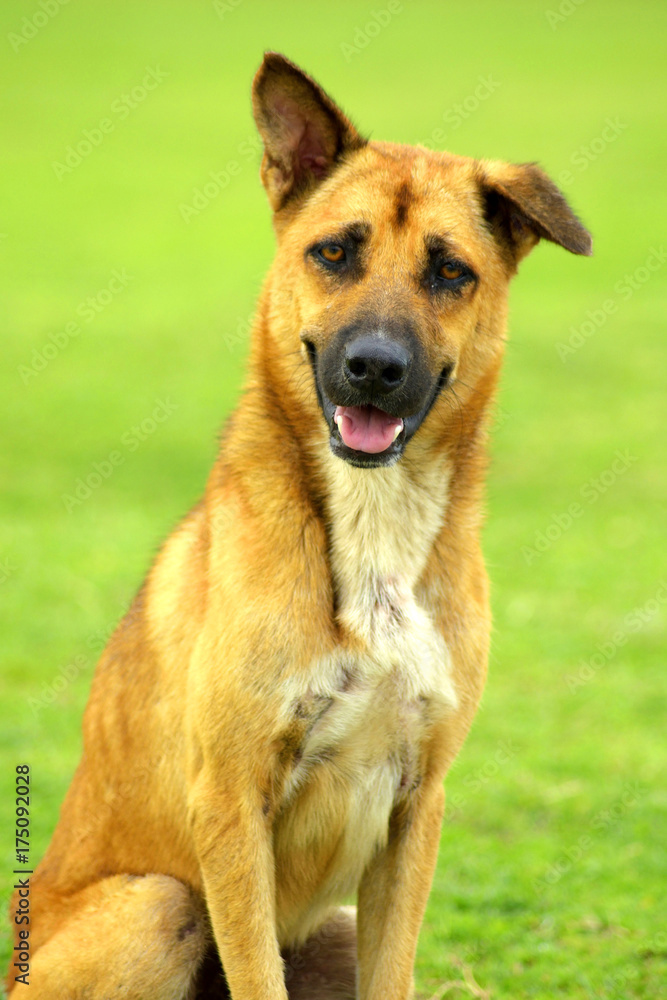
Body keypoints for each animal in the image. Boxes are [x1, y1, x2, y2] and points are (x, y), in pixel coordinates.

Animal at [7, 52, 592, 1000]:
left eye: (450, 272)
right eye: (334, 252)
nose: (373, 368)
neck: (370, 525)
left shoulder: (414, 808)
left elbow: (393, 974)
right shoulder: (231, 802)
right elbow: (255, 973)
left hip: (331, 930)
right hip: (158, 906)